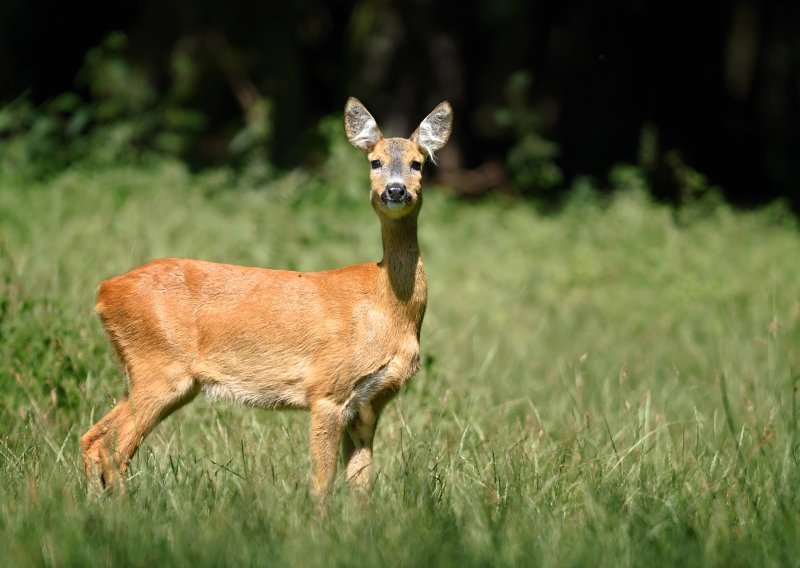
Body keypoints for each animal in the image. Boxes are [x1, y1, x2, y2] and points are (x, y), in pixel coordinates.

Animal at [83, 97, 454, 502]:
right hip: (159, 367)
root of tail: (104, 291)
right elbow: (322, 482)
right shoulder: (326, 388)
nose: (396, 191)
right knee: (114, 449)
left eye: (418, 163)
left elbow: (361, 486)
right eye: (375, 161)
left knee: (93, 438)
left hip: (149, 374)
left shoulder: (368, 403)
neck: (387, 306)